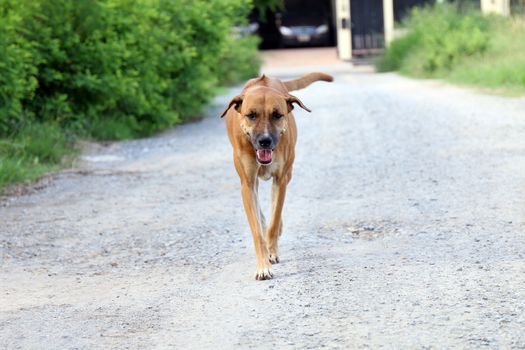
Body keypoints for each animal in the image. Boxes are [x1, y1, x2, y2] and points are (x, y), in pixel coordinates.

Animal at [221, 72, 332, 280]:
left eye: (277, 115)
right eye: (251, 115)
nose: (265, 141)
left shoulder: (280, 180)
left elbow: (274, 219)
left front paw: (271, 251)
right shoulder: (247, 184)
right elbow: (257, 230)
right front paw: (263, 265)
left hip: (288, 173)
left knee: (275, 212)